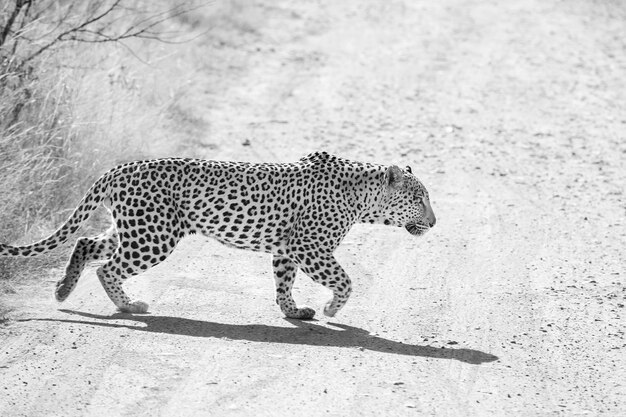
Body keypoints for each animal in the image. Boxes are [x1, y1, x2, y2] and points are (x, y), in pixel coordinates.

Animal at [1, 153, 434, 318]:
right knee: (107, 266)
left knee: (86, 243)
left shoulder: (286, 249)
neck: (364, 199)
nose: (434, 221)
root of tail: (122, 166)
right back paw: (130, 306)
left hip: (136, 228)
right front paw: (331, 310)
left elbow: (283, 283)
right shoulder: (308, 247)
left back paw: (62, 290)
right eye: (419, 198)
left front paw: (293, 312)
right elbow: (345, 280)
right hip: (153, 236)